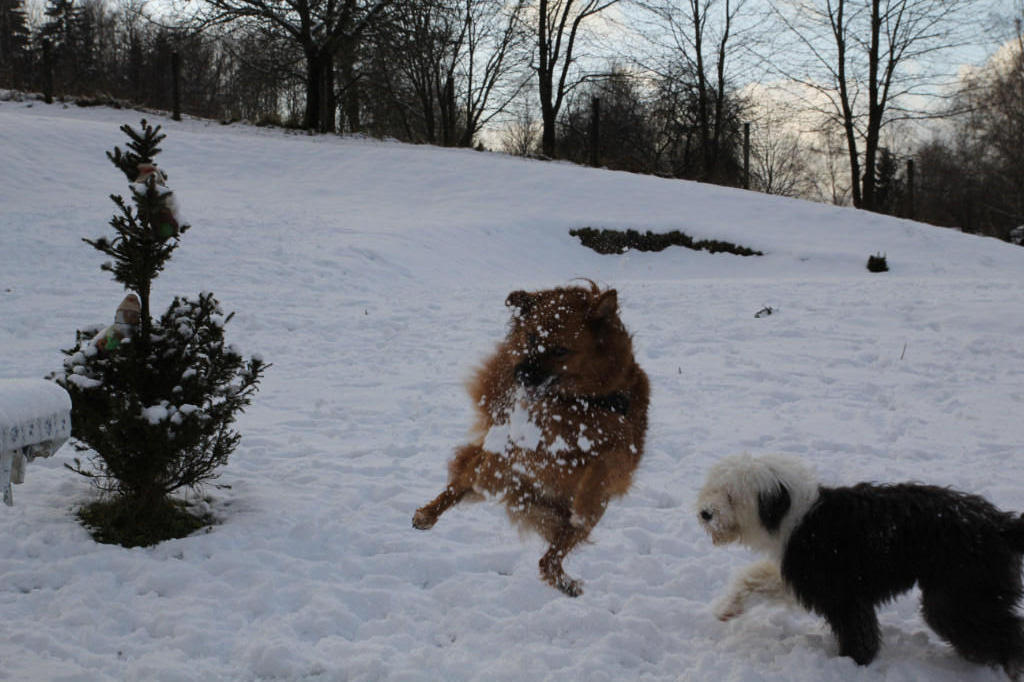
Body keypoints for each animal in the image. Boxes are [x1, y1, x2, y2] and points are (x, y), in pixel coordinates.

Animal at [412, 282, 649, 596]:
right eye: (532, 337)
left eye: (560, 350)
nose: (520, 374)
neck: (580, 401)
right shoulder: (522, 437)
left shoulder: (622, 454)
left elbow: (603, 464)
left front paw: (586, 492)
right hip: (493, 472)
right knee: (460, 484)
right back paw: (426, 514)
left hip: (585, 513)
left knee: (549, 559)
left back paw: (565, 582)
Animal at [697, 453, 1024, 679]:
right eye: (712, 488)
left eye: (731, 496)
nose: (705, 513)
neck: (796, 517)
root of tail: (1000, 524)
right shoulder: (801, 575)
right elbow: (754, 577)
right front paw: (728, 608)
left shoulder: (841, 593)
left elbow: (858, 630)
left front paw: (853, 662)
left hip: (959, 595)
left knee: (1005, 630)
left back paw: (1011, 666)